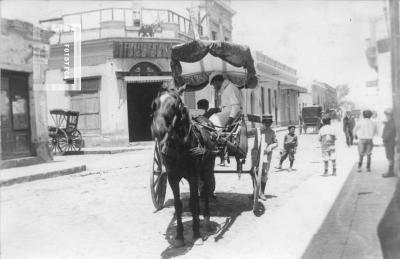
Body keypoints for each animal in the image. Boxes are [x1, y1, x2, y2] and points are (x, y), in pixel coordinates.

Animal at [152, 86, 217, 247]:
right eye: (154, 104)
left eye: (174, 106)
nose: (157, 130)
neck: (180, 146)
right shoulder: (172, 177)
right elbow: (178, 205)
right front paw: (180, 236)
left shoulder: (193, 175)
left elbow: (193, 202)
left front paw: (196, 233)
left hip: (206, 170)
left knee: (205, 192)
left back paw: (206, 221)